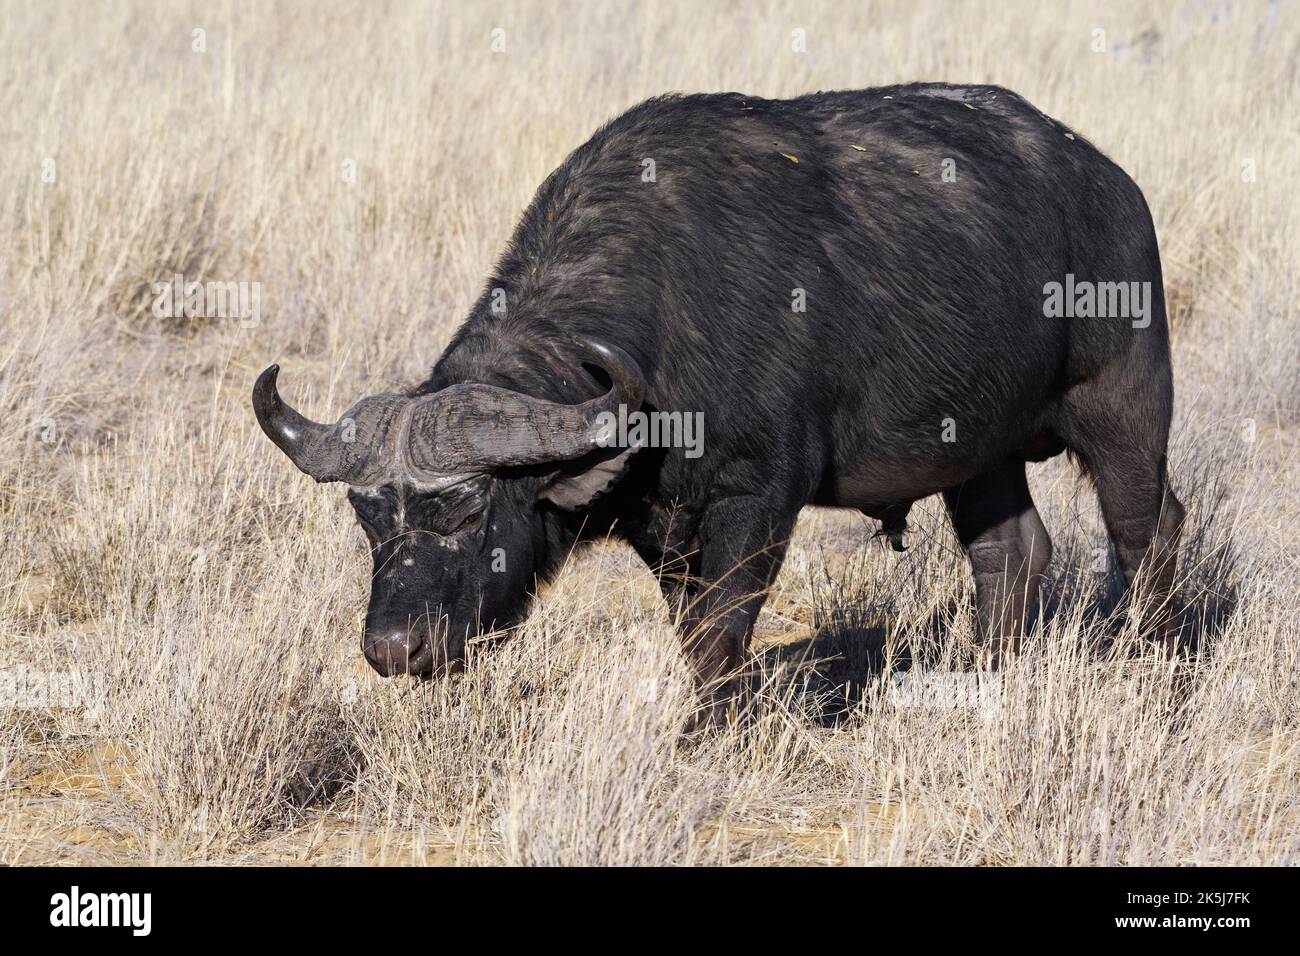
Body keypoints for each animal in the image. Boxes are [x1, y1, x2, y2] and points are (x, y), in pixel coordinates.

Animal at [248, 85, 1185, 712]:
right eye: (370, 521)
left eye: (469, 514)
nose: (392, 649)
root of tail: (1114, 185)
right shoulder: (664, 527)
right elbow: (693, 627)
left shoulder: (756, 497)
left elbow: (723, 624)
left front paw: (708, 731)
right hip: (977, 448)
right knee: (1011, 553)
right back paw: (981, 675)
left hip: (1124, 408)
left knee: (1148, 533)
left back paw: (1153, 660)